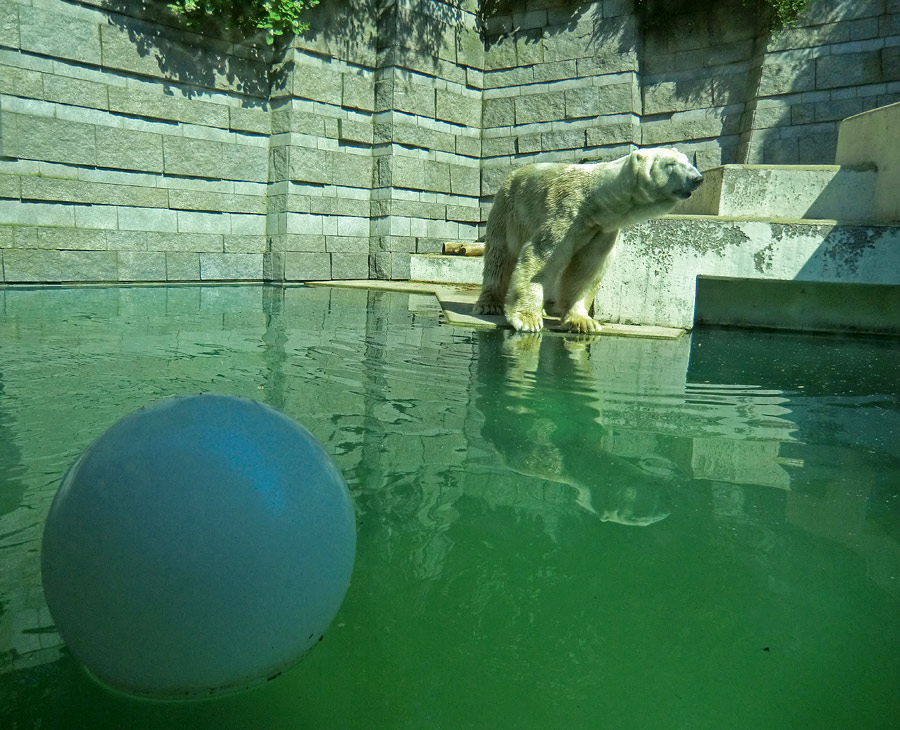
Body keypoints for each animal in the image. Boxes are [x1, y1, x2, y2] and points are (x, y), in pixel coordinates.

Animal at [472, 146, 704, 332]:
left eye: (687, 161)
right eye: (671, 164)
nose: (697, 178)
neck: (597, 201)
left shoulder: (601, 230)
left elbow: (586, 269)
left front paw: (583, 321)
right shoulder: (566, 214)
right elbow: (540, 257)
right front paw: (528, 320)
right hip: (507, 212)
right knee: (499, 258)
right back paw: (489, 304)